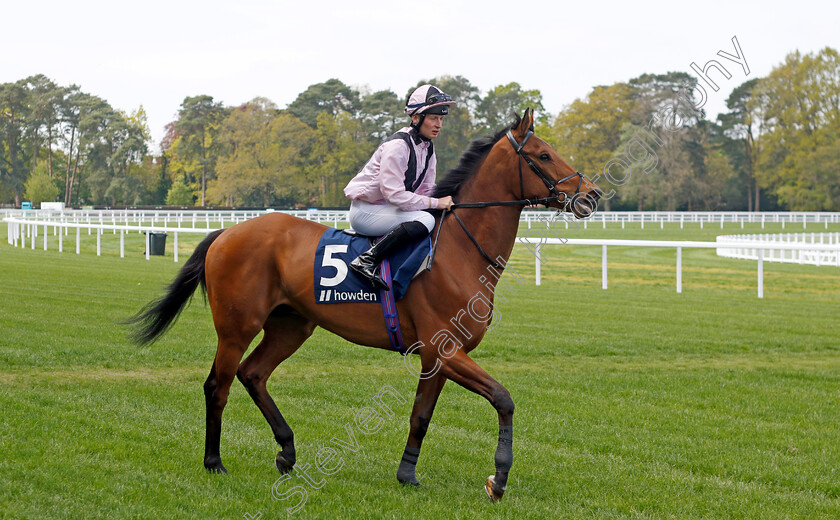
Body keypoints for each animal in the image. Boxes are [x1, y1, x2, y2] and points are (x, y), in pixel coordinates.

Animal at [128, 108, 600, 500]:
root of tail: (226, 232)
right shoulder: (445, 349)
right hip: (236, 326)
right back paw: (214, 461)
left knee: (254, 374)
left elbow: (420, 417)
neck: (460, 252)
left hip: (291, 325)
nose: (592, 195)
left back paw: (287, 451)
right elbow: (503, 399)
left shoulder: (436, 356)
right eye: (543, 155)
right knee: (218, 385)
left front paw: (408, 475)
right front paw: (497, 479)